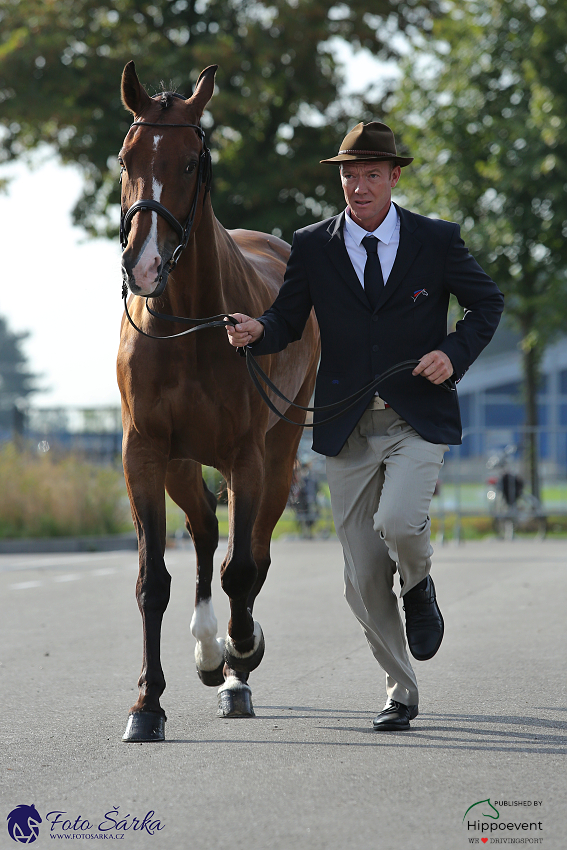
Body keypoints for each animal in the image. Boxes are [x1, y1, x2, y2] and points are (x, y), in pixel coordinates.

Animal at [117, 59, 322, 740]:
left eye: (189, 163)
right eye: (126, 157)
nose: (143, 265)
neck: (191, 325)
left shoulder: (246, 457)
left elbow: (243, 568)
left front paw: (241, 654)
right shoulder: (145, 453)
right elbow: (153, 579)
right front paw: (146, 705)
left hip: (279, 457)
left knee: (251, 553)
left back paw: (234, 662)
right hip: (183, 462)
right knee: (205, 530)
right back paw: (209, 650)